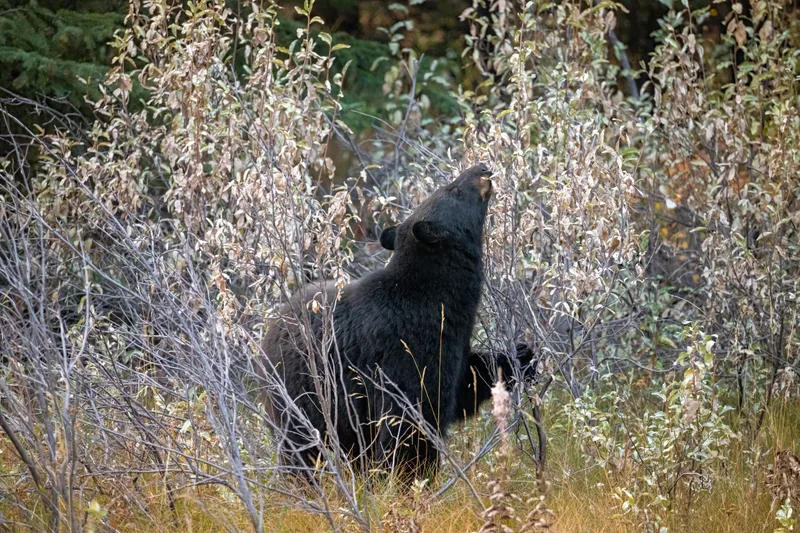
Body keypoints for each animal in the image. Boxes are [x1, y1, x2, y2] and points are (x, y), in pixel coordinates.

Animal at [261, 163, 534, 482]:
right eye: (452, 189)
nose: (483, 167)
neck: (435, 297)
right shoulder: (403, 346)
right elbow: (408, 421)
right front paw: (411, 479)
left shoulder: (450, 342)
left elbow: (463, 383)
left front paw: (521, 357)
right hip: (299, 397)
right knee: (302, 449)